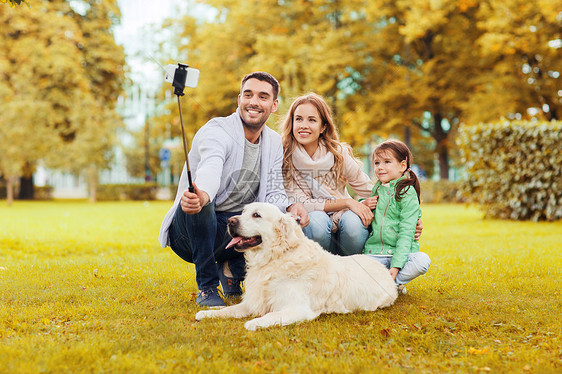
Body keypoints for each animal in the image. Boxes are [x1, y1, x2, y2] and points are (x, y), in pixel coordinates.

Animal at [195, 202, 396, 330]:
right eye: (243, 212)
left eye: (256, 215)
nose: (231, 221)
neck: (274, 259)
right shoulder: (253, 301)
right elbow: (229, 309)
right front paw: (207, 313)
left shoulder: (298, 308)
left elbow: (270, 315)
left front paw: (254, 323)